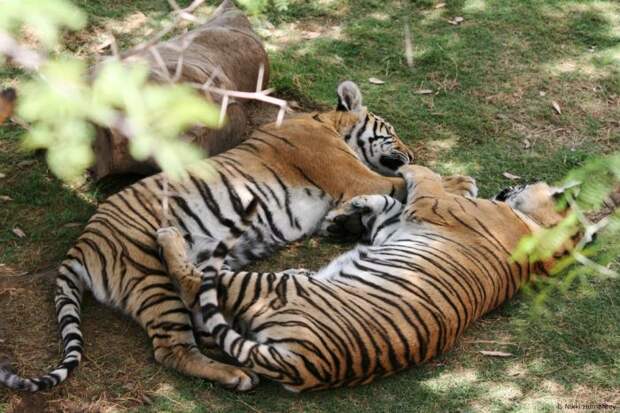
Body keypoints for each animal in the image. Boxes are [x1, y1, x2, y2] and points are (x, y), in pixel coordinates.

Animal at [0, 79, 424, 390]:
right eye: (393, 132)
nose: (412, 154)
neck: (325, 123)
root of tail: (81, 243)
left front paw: (342, 223)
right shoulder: (355, 177)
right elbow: (399, 185)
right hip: (150, 277)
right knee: (171, 348)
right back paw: (236, 375)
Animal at [151, 163, 588, 390]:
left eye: (528, 184)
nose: (511, 182)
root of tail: (301, 365)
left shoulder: (429, 205)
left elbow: (422, 177)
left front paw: (405, 167)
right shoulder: (396, 224)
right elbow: (384, 201)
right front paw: (347, 213)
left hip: (272, 287)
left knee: (197, 285)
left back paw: (170, 236)